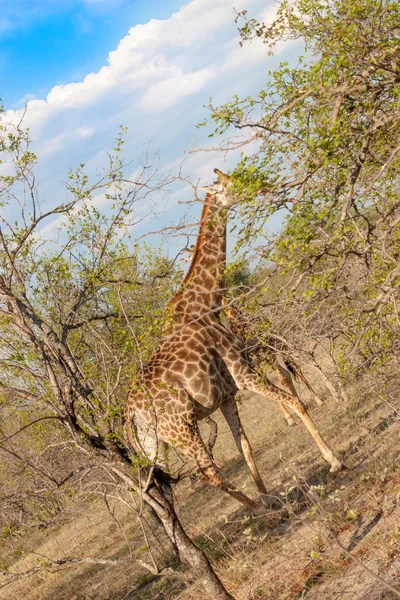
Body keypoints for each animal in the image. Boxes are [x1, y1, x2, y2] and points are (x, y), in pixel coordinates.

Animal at [124, 169, 340, 510]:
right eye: (232, 183)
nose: (261, 186)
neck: (207, 304)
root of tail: (128, 414)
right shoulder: (242, 372)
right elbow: (295, 402)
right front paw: (333, 460)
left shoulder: (227, 394)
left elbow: (245, 446)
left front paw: (267, 494)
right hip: (183, 427)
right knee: (207, 472)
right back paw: (255, 510)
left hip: (152, 443)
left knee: (167, 491)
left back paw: (255, 505)